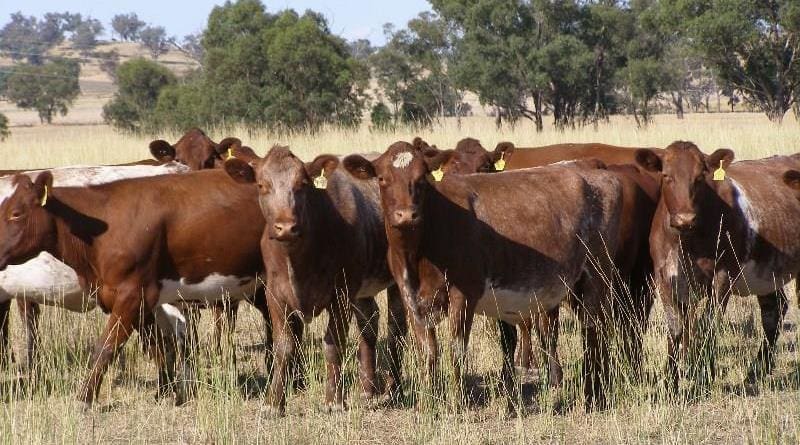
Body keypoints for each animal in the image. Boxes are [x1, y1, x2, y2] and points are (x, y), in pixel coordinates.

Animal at [0, 168, 269, 406]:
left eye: (16, 213)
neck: (101, 230)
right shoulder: (135, 302)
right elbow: (156, 345)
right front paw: (166, 391)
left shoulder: (132, 295)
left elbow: (105, 348)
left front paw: (85, 398)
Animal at [223, 146, 407, 415]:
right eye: (261, 185)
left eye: (302, 184)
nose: (286, 227)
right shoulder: (275, 294)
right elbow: (283, 347)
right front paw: (273, 403)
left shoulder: (341, 293)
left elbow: (333, 344)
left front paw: (334, 400)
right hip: (362, 289)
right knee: (369, 323)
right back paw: (368, 390)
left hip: (394, 279)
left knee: (396, 327)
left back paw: (395, 389)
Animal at [343, 141, 628, 411]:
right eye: (382, 178)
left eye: (422, 179)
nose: (406, 215)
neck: (418, 251)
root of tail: (589, 167)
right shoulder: (410, 295)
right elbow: (428, 351)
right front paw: (429, 404)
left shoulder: (464, 292)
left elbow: (456, 349)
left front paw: (456, 401)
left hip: (596, 275)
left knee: (594, 332)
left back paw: (594, 393)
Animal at [426, 137, 659, 387]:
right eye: (451, 169)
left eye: (484, 166)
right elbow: (511, 335)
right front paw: (508, 377)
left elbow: (541, 331)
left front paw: (548, 375)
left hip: (629, 281)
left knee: (621, 325)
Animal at [635, 141, 800, 394]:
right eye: (666, 176)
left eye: (700, 177)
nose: (685, 219)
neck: (686, 242)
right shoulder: (663, 276)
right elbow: (676, 327)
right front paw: (671, 382)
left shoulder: (723, 274)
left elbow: (708, 323)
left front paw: (703, 375)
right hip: (768, 272)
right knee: (774, 310)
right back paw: (757, 370)